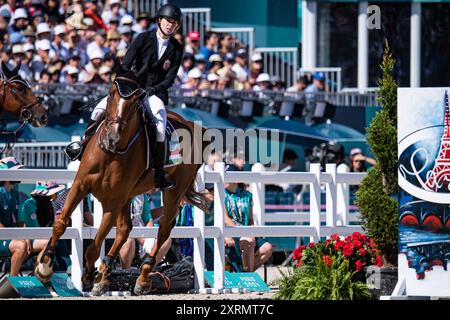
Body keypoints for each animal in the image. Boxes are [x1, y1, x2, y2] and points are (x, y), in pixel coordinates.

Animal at [36, 65, 207, 296]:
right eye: (110, 94)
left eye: (135, 101)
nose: (112, 138)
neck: (111, 153)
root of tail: (191, 125)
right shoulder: (81, 186)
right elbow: (60, 223)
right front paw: (45, 267)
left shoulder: (113, 201)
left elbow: (95, 244)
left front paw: (88, 275)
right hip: (129, 195)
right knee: (125, 230)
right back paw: (105, 276)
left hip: (172, 192)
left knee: (163, 230)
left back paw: (141, 278)